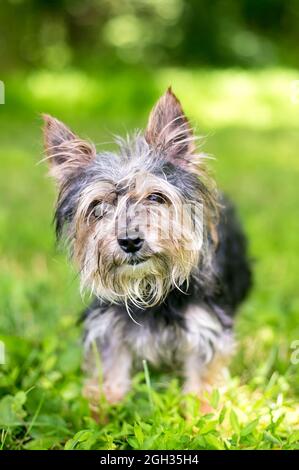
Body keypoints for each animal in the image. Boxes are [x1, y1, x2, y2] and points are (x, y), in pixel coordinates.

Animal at [42, 89, 253, 414]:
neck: (150, 286)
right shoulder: (108, 325)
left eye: (156, 197)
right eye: (98, 207)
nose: (129, 241)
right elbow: (109, 372)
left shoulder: (206, 326)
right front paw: (103, 409)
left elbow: (203, 377)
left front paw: (202, 412)